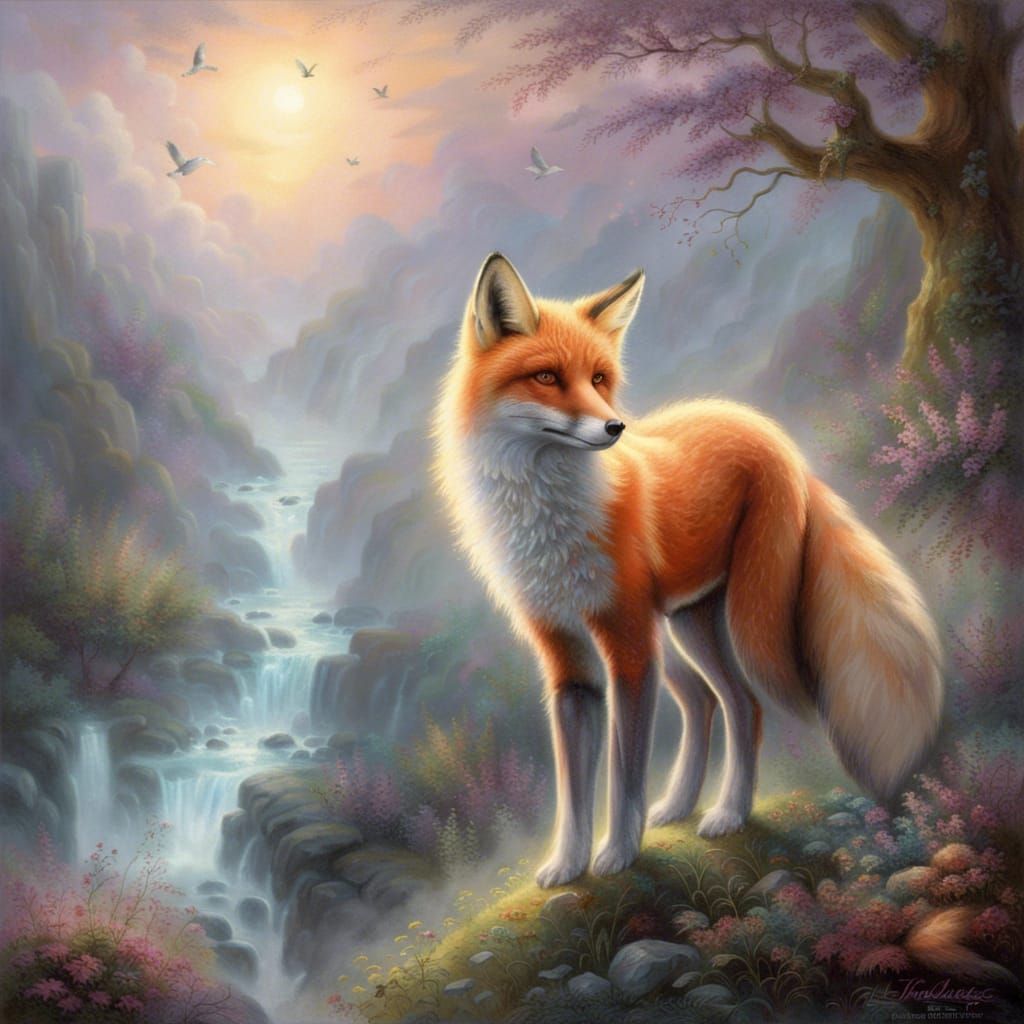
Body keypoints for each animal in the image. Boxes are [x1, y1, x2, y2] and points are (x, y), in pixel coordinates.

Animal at [434, 252, 943, 889]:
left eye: (599, 379)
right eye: (547, 377)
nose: (614, 428)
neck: (547, 517)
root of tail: (770, 433)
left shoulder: (626, 648)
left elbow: (624, 776)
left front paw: (618, 854)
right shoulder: (569, 661)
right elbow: (575, 787)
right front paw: (568, 864)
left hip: (743, 628)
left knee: (746, 704)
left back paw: (728, 813)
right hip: (681, 629)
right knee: (710, 701)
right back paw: (682, 805)